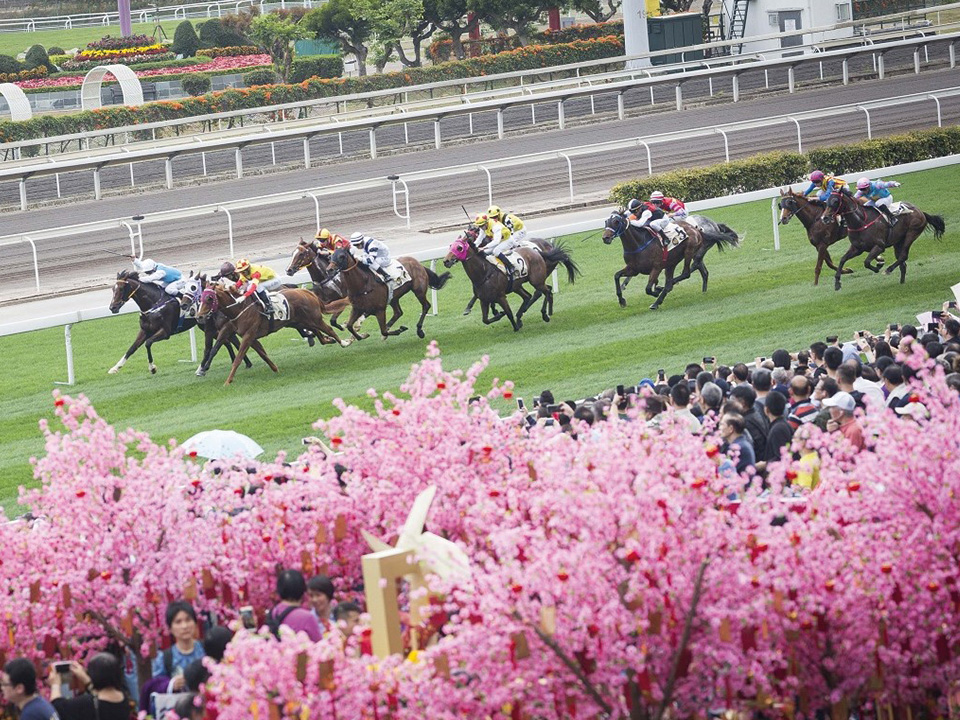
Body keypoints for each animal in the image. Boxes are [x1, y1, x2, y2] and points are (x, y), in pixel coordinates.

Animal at [195, 282, 348, 386]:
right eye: (200, 298)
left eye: (209, 298)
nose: (199, 316)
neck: (238, 309)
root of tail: (306, 291)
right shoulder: (244, 333)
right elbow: (262, 353)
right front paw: (275, 368)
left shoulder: (248, 334)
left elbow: (238, 358)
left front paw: (228, 380)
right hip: (300, 321)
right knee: (318, 333)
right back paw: (329, 340)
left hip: (313, 319)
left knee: (329, 329)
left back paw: (344, 342)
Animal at [442, 231, 576, 332]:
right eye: (450, 246)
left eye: (459, 247)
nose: (446, 261)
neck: (484, 273)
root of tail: (538, 252)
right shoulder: (483, 299)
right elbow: (485, 320)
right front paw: (498, 313)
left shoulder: (501, 296)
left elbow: (508, 312)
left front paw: (515, 326)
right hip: (518, 285)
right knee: (530, 295)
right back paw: (526, 315)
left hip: (537, 281)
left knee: (545, 291)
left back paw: (545, 314)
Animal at [600, 210, 744, 308]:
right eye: (606, 222)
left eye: (616, 222)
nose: (605, 238)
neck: (639, 243)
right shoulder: (633, 269)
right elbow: (617, 276)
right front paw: (622, 300)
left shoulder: (656, 267)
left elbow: (648, 288)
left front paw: (656, 290)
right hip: (673, 262)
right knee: (698, 271)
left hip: (691, 251)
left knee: (687, 272)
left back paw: (662, 293)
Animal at [820, 194, 948, 292]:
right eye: (826, 201)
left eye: (835, 201)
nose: (824, 218)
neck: (861, 222)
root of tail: (920, 211)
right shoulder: (857, 248)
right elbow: (842, 259)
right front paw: (837, 283)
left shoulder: (879, 246)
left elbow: (866, 262)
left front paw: (878, 266)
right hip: (898, 242)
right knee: (902, 262)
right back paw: (901, 282)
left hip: (911, 233)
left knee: (903, 256)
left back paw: (888, 270)